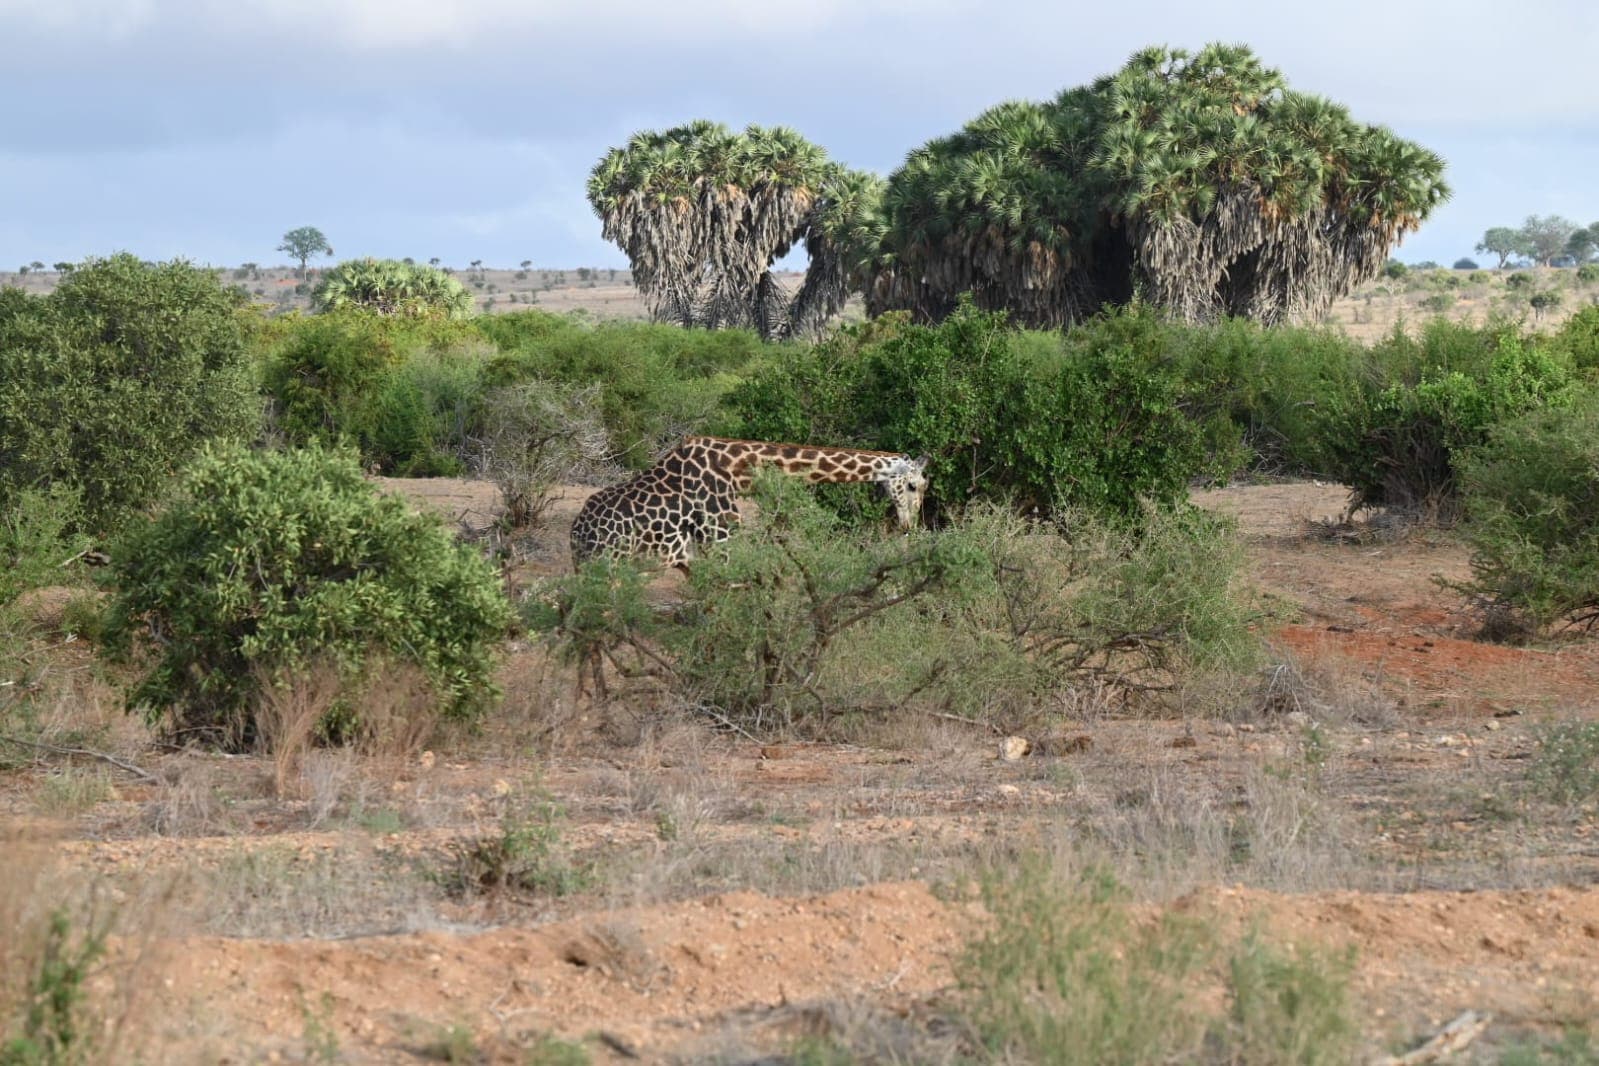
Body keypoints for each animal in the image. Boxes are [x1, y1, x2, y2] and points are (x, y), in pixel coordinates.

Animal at [570, 436, 929, 568]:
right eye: (913, 485)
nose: (909, 526)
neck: (736, 469)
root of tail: (576, 533)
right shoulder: (722, 536)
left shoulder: (693, 552)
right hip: (609, 562)